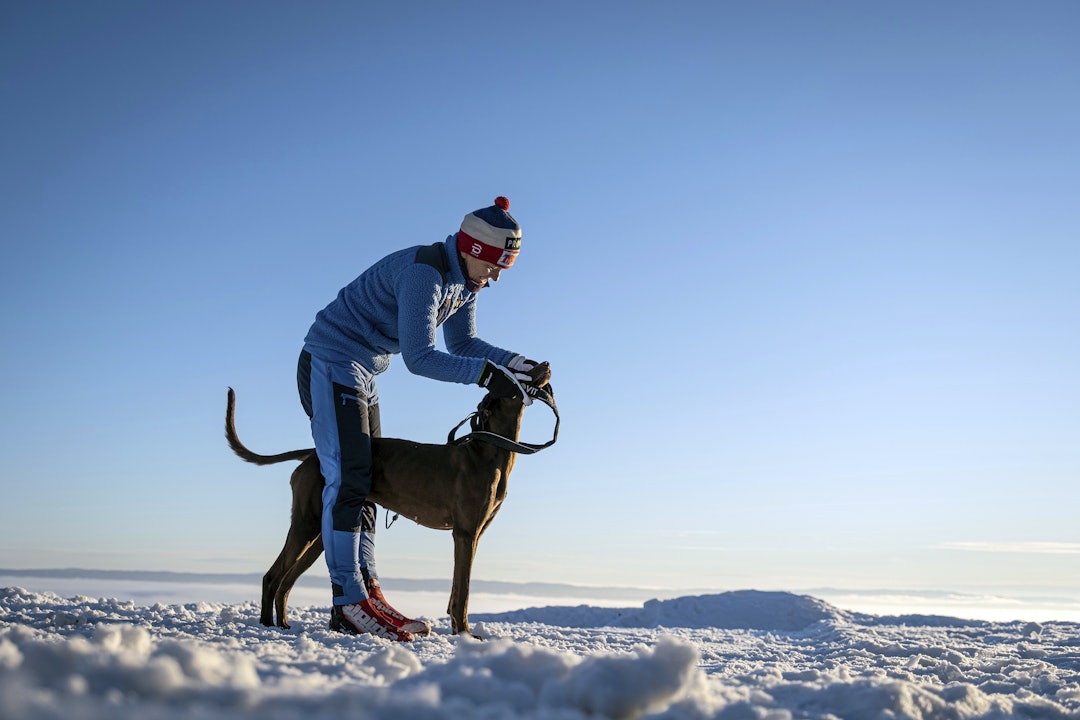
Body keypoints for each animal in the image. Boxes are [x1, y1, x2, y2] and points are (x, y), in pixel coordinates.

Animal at [224, 367, 552, 634]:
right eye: (516, 375)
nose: (547, 363)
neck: (491, 450)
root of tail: (313, 453)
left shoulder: (474, 535)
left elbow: (455, 591)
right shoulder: (465, 533)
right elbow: (464, 593)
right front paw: (465, 635)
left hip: (321, 534)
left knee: (287, 581)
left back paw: (284, 624)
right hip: (307, 523)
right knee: (272, 577)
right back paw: (267, 626)